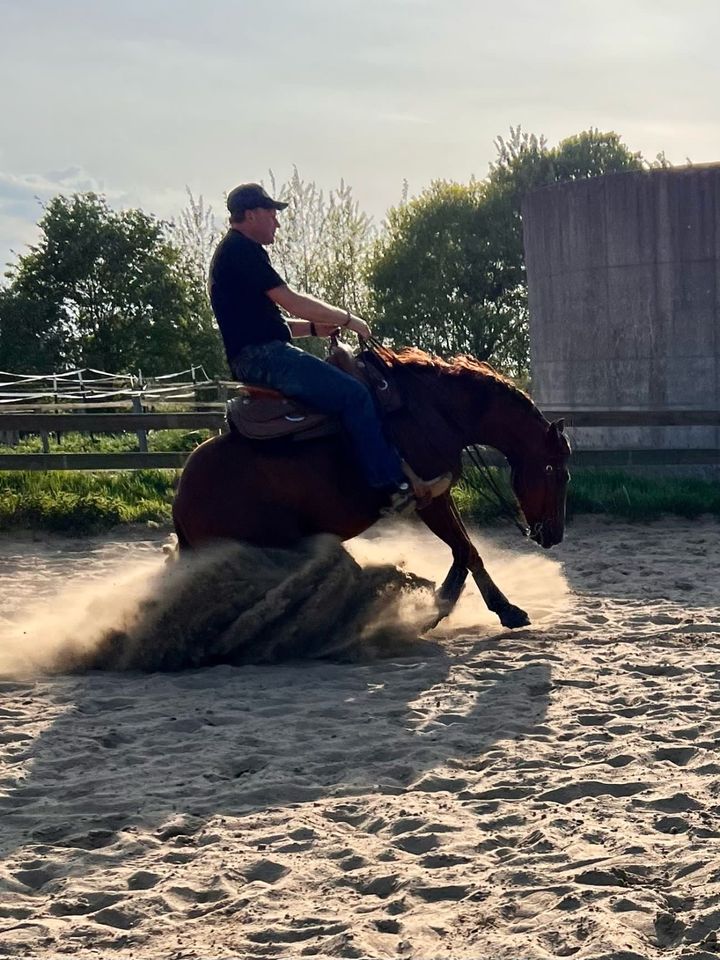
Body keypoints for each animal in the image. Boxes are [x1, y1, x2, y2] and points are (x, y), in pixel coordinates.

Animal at [172, 346, 572, 632]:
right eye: (557, 473)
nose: (554, 534)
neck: (435, 409)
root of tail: (183, 495)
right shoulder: (427, 500)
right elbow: (467, 550)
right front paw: (472, 608)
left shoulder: (438, 493)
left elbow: (466, 550)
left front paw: (454, 601)